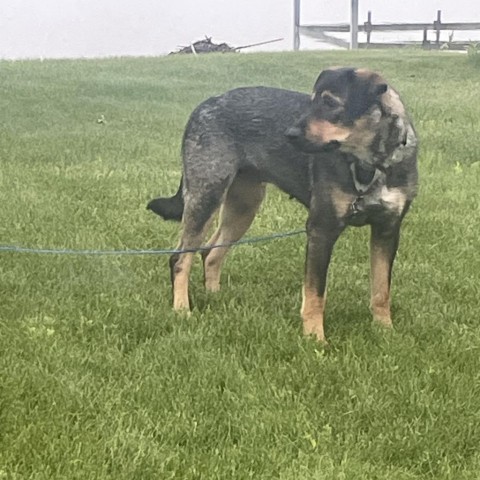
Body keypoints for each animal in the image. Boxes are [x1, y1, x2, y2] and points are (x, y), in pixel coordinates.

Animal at [148, 67, 418, 344]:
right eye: (312, 100)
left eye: (330, 102)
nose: (289, 134)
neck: (370, 166)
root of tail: (204, 105)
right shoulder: (321, 229)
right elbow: (315, 294)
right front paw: (315, 338)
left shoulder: (387, 230)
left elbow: (381, 290)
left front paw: (385, 331)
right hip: (207, 196)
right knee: (180, 258)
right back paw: (182, 310)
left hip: (244, 206)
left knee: (210, 253)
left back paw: (215, 296)